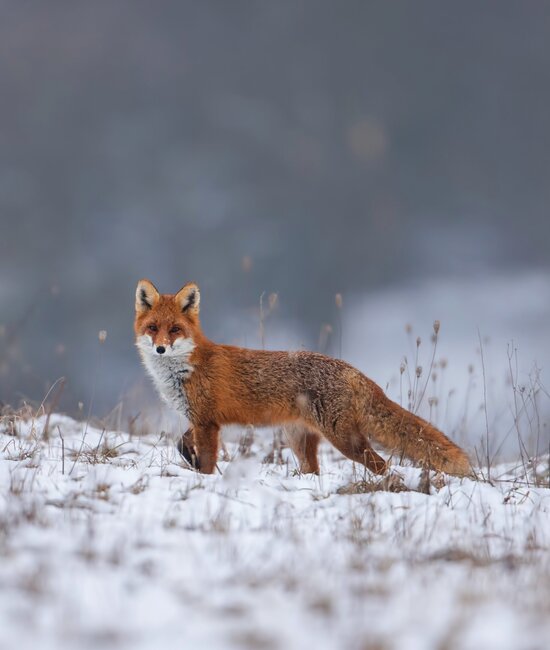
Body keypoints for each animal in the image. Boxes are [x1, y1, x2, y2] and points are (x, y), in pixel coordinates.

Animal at [136, 278, 472, 476]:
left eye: (175, 329)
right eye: (153, 328)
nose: (161, 348)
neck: (185, 369)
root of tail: (355, 371)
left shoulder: (207, 423)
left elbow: (206, 461)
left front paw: (202, 477)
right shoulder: (199, 419)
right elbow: (180, 442)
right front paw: (189, 459)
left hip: (344, 440)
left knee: (383, 464)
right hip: (299, 439)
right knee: (315, 471)